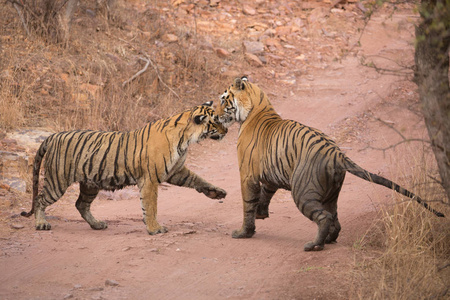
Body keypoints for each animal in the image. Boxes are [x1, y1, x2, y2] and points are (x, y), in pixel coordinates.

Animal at [20, 102, 229, 236]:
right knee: (40, 199)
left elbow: (198, 179)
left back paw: (97, 225)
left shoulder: (176, 171)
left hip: (90, 183)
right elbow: (150, 206)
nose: (226, 130)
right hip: (58, 181)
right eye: (216, 121)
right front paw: (155, 229)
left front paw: (216, 192)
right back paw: (41, 224)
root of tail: (53, 136)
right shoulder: (150, 179)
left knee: (81, 204)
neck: (185, 140)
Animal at [216, 76, 444, 252]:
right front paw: (261, 213)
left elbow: (248, 204)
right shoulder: (271, 175)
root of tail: (337, 154)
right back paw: (328, 240)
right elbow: (266, 194)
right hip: (330, 193)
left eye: (223, 100)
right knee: (335, 219)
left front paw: (244, 232)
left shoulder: (247, 175)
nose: (215, 114)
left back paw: (314, 245)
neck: (257, 107)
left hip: (303, 192)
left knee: (324, 217)